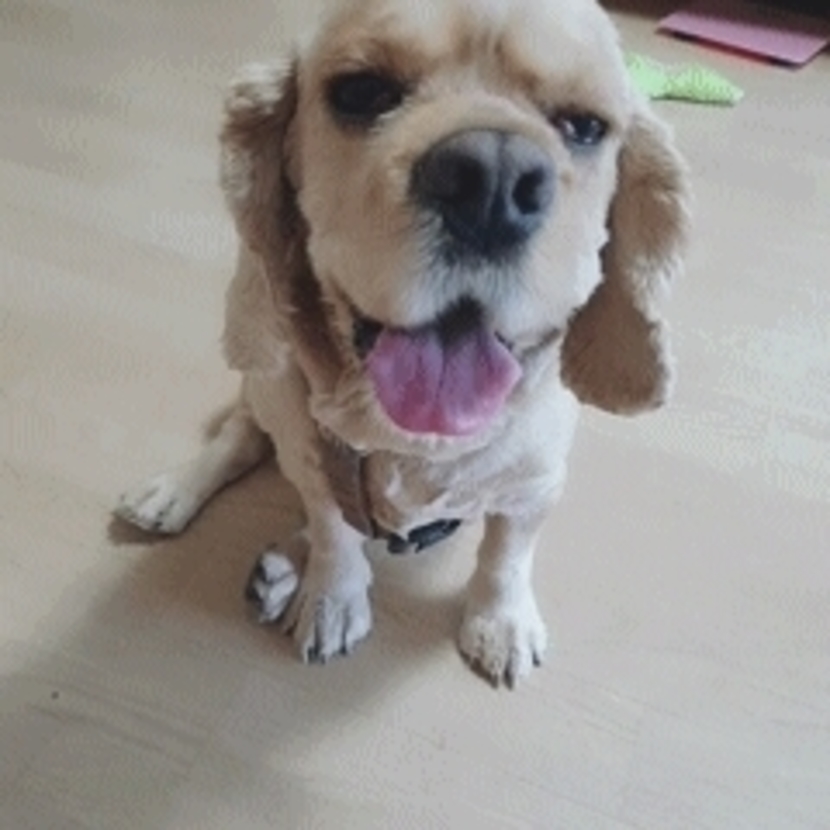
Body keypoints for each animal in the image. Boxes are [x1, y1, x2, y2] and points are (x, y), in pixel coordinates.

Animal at [117, 0, 689, 687]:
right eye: (361, 92)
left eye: (583, 126)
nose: (491, 181)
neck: (411, 438)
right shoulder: (309, 455)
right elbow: (334, 531)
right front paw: (333, 598)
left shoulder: (535, 484)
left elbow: (506, 555)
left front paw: (500, 622)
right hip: (264, 383)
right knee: (239, 436)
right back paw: (176, 494)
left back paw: (282, 568)